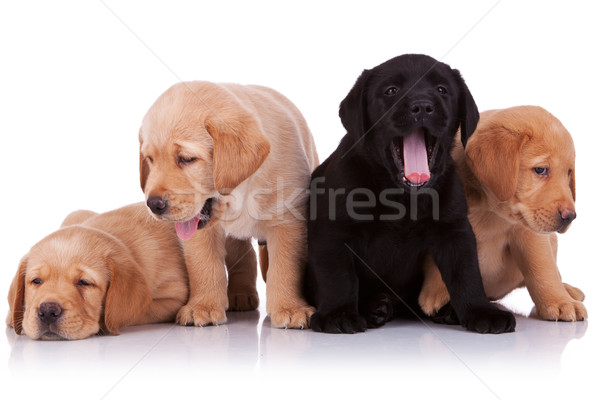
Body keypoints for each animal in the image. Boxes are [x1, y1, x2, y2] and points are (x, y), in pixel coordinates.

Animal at [139, 80, 318, 328]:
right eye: (150, 159)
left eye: (186, 159)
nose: (153, 204)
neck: (239, 192)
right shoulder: (199, 229)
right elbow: (203, 265)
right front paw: (202, 306)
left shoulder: (288, 222)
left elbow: (285, 267)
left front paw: (290, 308)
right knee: (243, 254)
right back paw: (241, 294)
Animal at [304, 54, 516, 334]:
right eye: (391, 91)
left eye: (442, 89)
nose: (423, 106)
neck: (400, 196)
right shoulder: (333, 232)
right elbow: (337, 277)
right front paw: (338, 314)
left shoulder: (454, 230)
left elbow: (466, 273)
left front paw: (481, 310)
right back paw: (375, 307)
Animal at [420, 106, 584, 322]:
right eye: (541, 170)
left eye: (568, 173)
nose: (570, 216)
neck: (490, 209)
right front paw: (435, 292)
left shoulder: (530, 234)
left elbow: (543, 269)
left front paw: (559, 301)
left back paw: (569, 291)